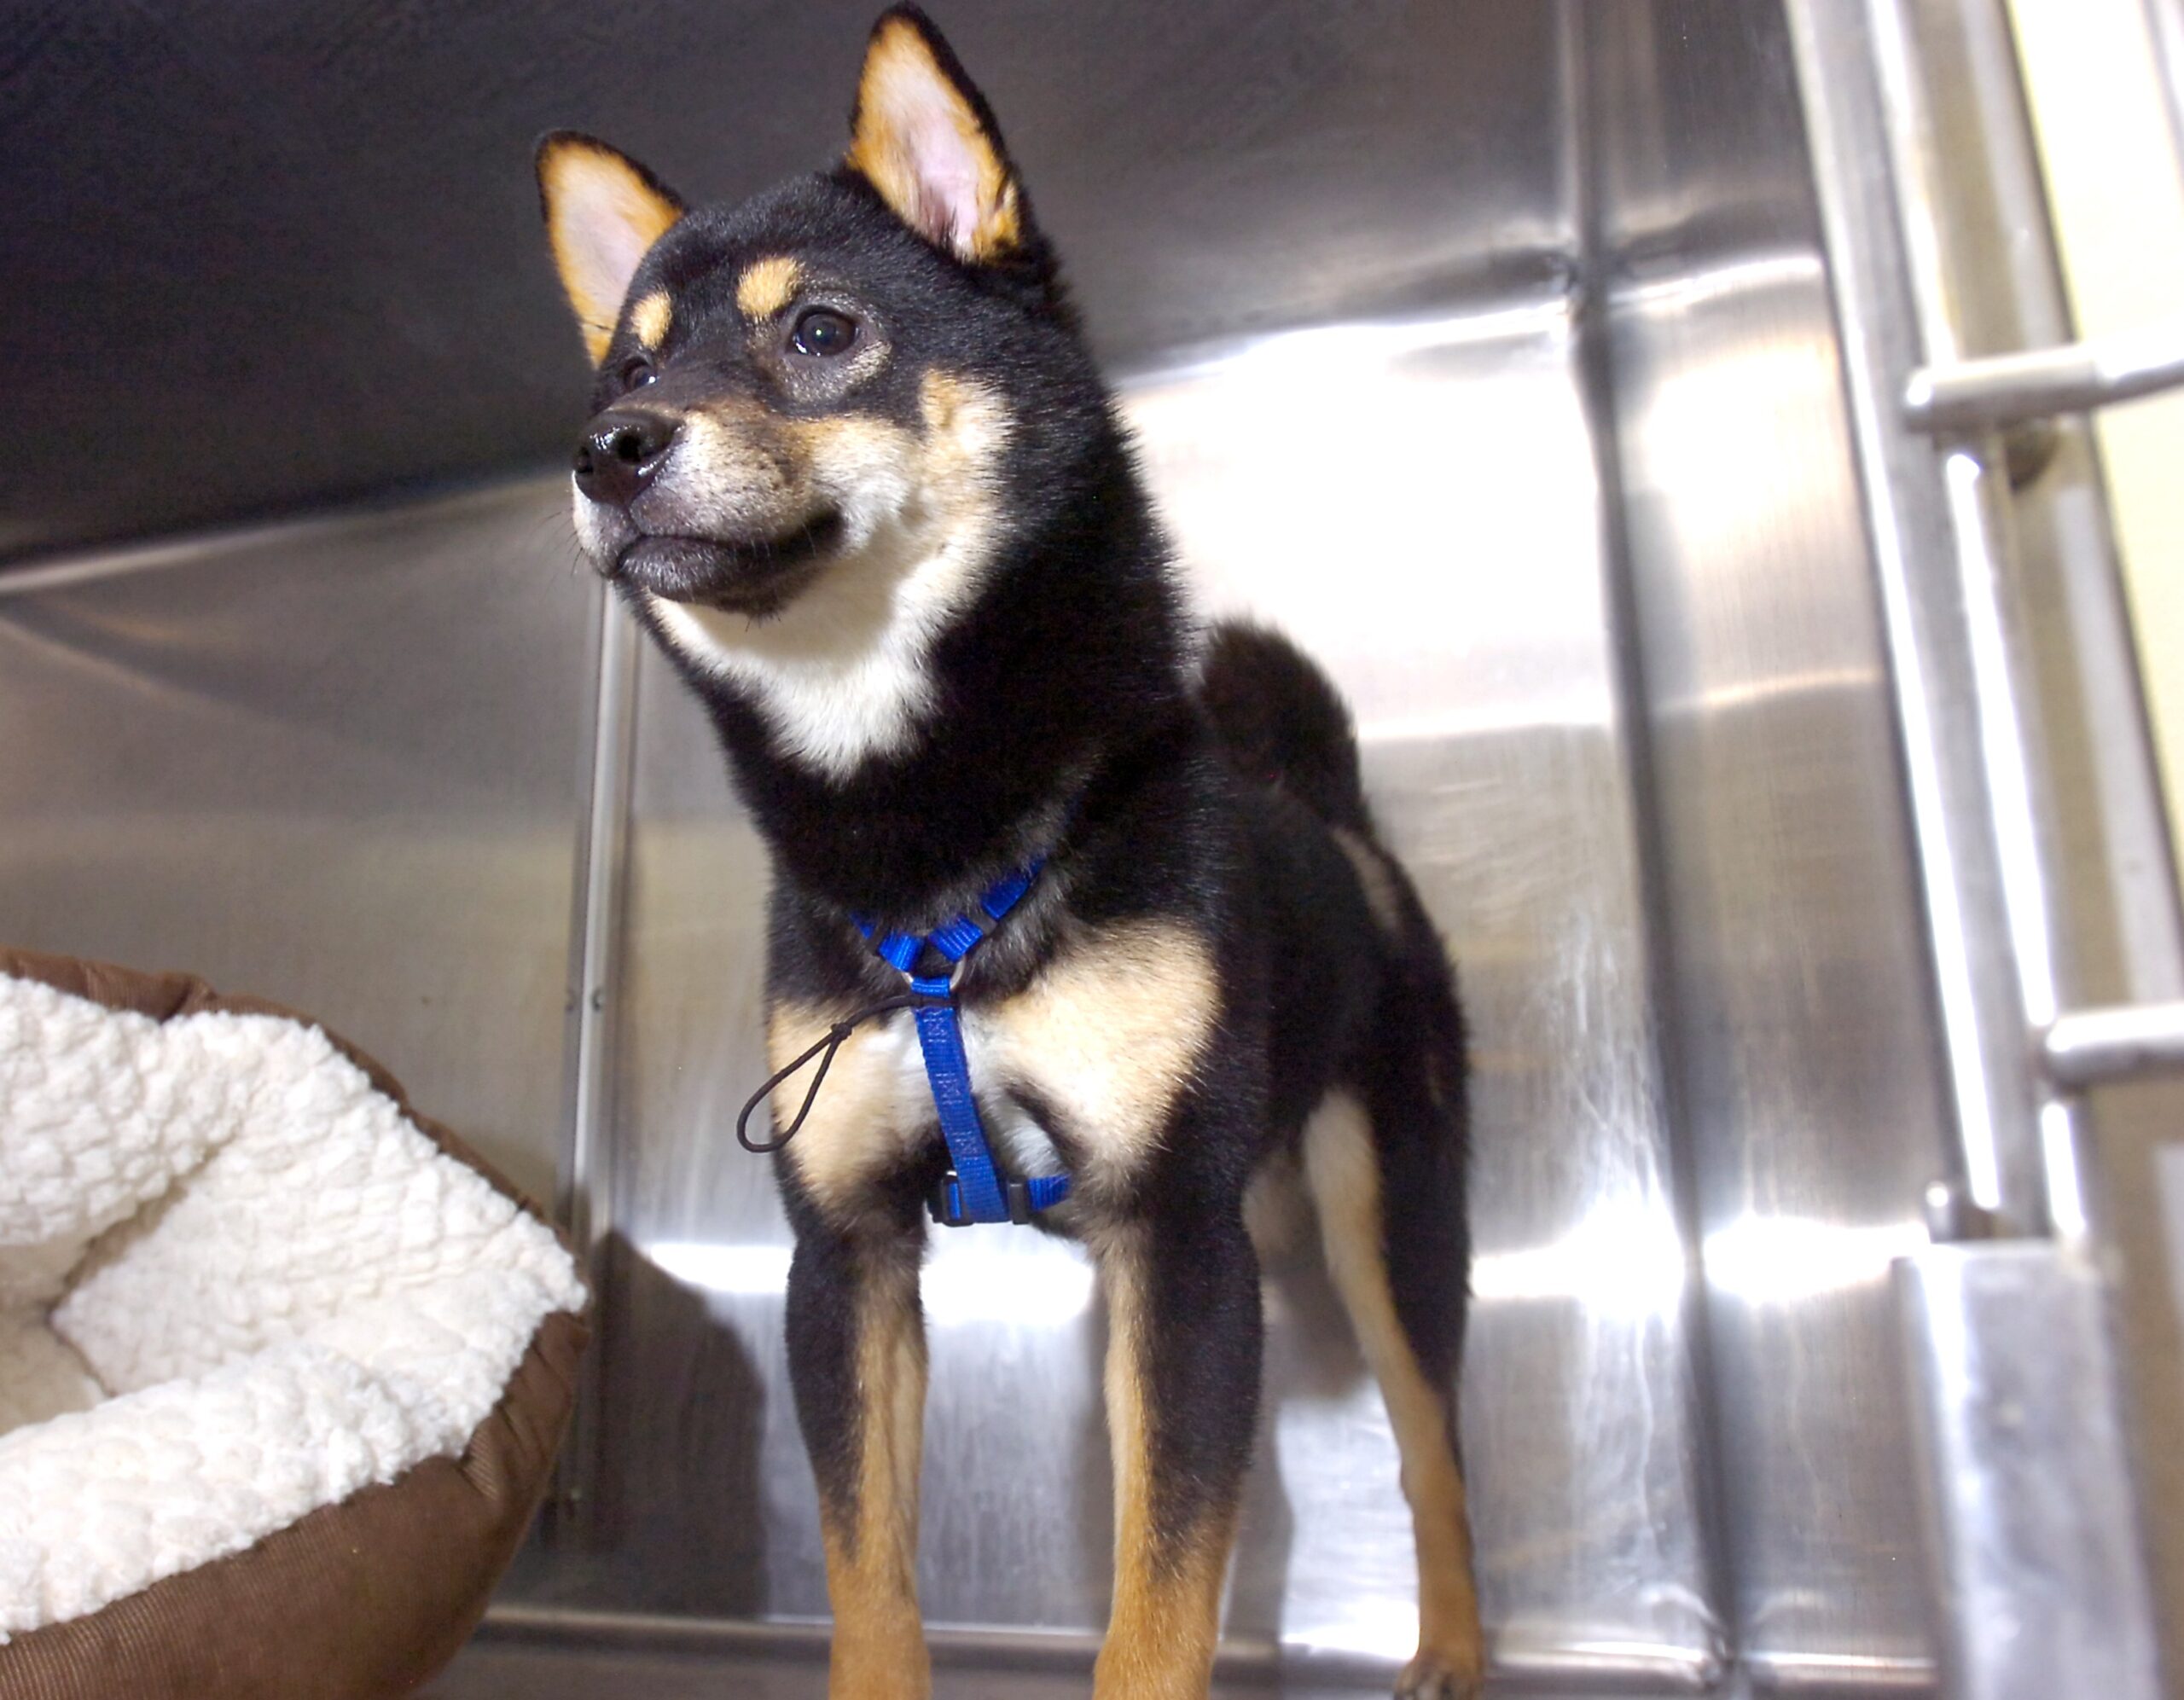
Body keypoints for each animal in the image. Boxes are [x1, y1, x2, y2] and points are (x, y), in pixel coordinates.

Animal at [537, 6, 1484, 1693]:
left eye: (822, 332)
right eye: (630, 360)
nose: (607, 447)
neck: (923, 842)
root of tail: (1340, 824)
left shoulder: (1179, 1245)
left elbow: (1159, 1613)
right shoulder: (845, 1254)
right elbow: (872, 1579)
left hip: (1390, 1210)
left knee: (1435, 1447)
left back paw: (1453, 1641)